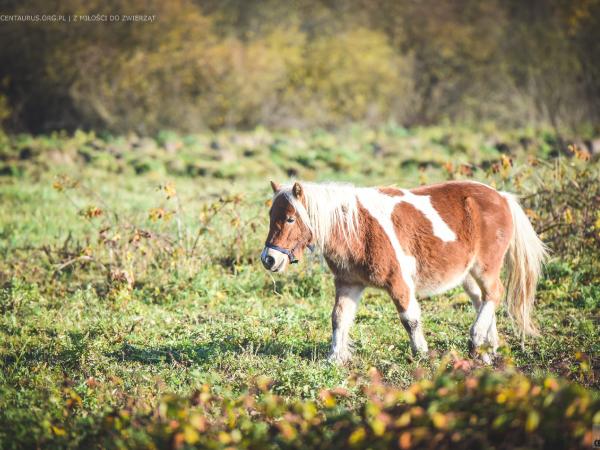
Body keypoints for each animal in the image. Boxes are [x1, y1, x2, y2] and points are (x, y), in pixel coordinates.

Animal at [260, 178, 548, 364]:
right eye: (271, 217)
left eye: (290, 219)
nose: (269, 259)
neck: (358, 229)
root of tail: (501, 197)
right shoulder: (348, 283)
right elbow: (339, 318)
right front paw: (335, 358)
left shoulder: (397, 282)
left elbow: (410, 319)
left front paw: (421, 354)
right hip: (467, 274)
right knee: (482, 300)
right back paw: (489, 348)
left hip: (485, 267)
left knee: (494, 293)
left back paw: (476, 340)